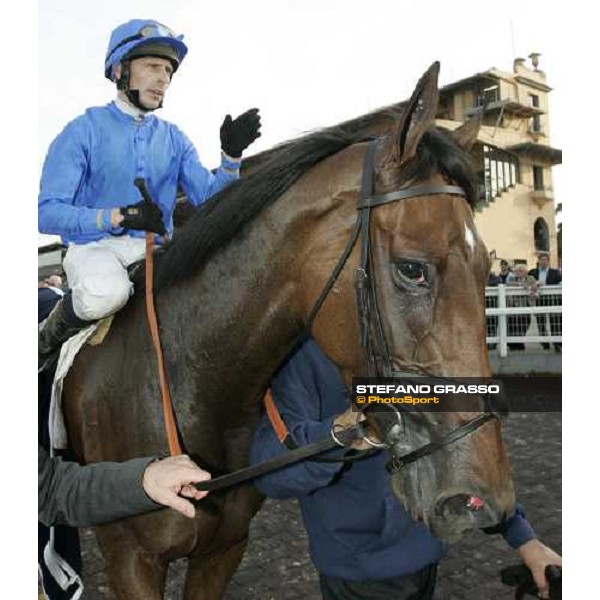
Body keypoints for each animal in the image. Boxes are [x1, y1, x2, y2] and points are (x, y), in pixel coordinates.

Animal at [63, 63, 516, 596]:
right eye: (412, 269)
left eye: (487, 270)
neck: (186, 386)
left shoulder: (223, 549)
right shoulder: (131, 560)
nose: (480, 499)